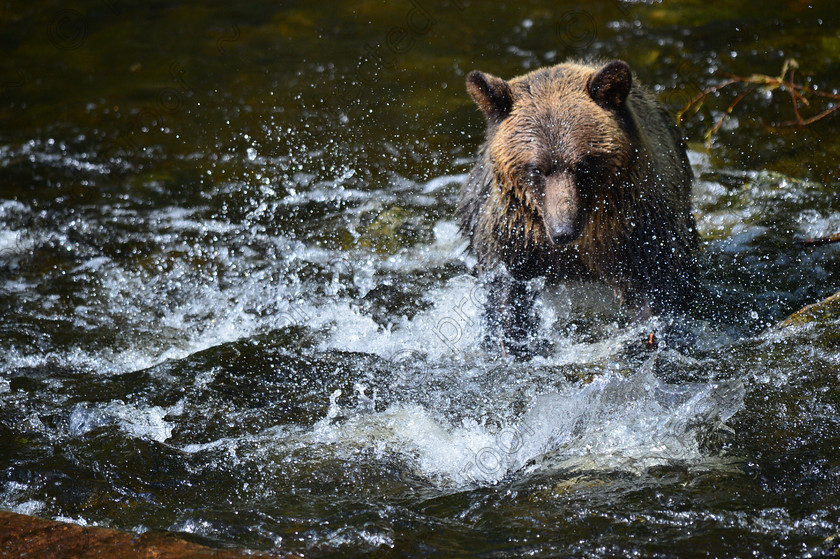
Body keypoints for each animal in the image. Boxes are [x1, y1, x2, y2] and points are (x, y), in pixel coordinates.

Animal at [456, 60, 700, 354]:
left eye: (583, 164)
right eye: (536, 168)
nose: (564, 231)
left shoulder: (639, 227)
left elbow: (659, 287)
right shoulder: (513, 233)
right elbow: (506, 293)